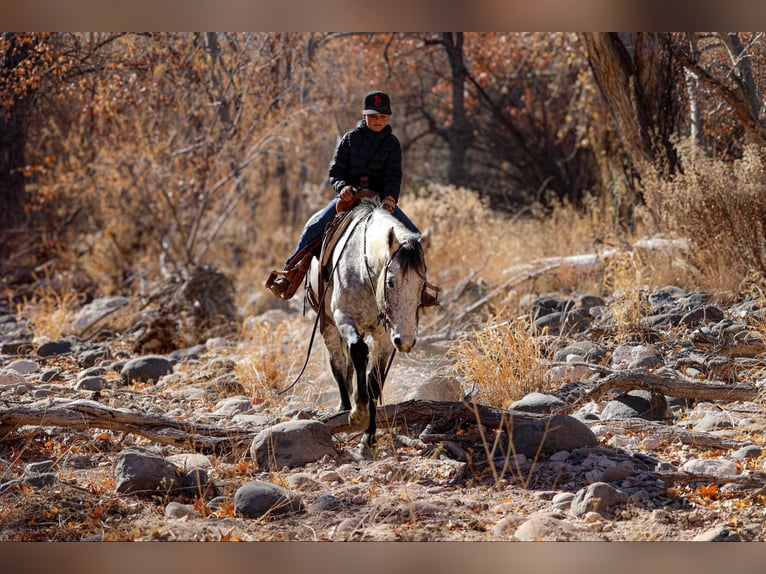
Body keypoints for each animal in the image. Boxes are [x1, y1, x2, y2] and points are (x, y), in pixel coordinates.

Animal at [308, 198, 438, 450]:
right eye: (391, 282)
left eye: (421, 286)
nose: (406, 341)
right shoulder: (343, 317)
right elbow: (358, 352)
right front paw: (358, 415)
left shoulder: (386, 336)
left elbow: (375, 379)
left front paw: (369, 436)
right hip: (328, 326)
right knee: (338, 363)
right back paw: (345, 406)